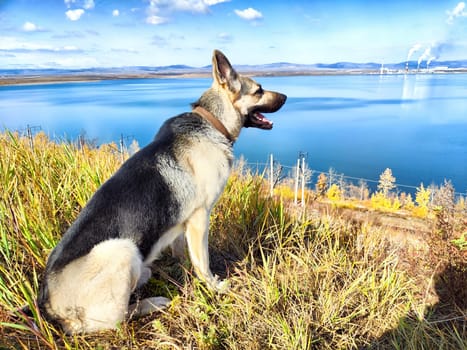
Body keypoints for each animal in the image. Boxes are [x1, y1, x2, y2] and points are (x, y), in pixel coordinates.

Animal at [38, 50, 288, 334]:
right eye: (259, 90)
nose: (286, 97)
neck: (212, 123)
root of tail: (50, 308)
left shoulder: (184, 223)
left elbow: (184, 254)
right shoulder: (200, 219)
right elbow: (203, 263)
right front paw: (214, 287)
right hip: (121, 250)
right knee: (119, 318)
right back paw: (153, 302)